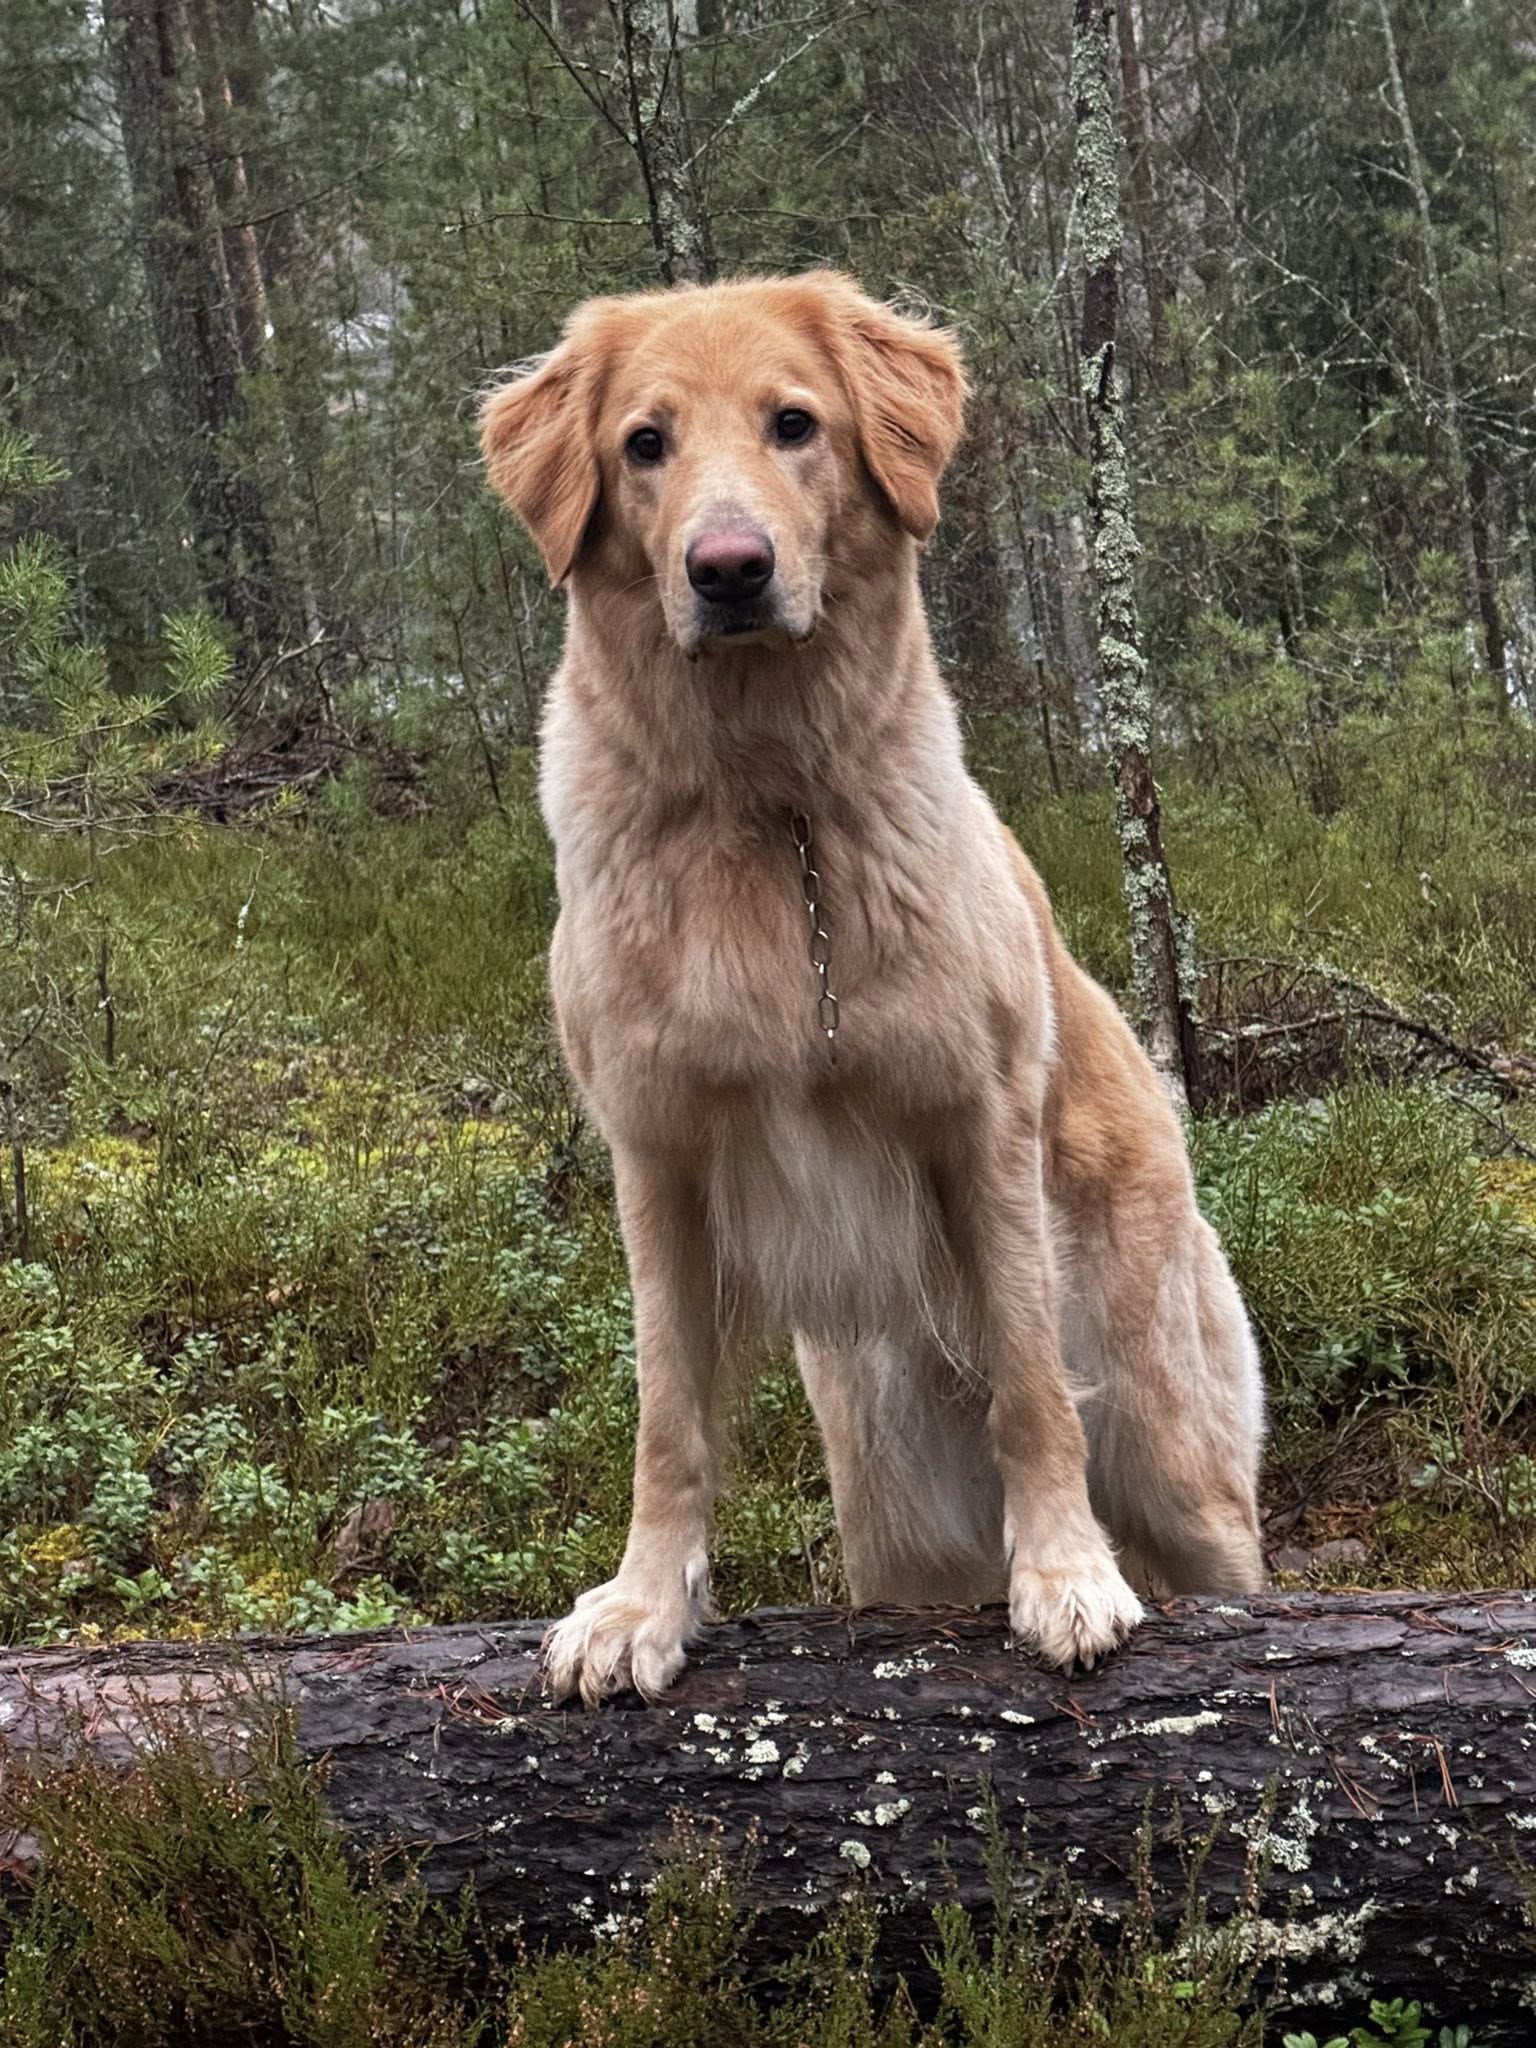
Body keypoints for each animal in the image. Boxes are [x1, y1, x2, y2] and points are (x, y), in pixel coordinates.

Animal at [480, 271, 1265, 1705]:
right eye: (644, 444)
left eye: (795, 423)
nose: (728, 569)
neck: (769, 803)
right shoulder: (657, 1160)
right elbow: (667, 1418)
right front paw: (642, 1604)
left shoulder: (980, 1126)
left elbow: (1030, 1383)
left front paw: (1064, 1572)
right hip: (891, 1519)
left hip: (1182, 1465)